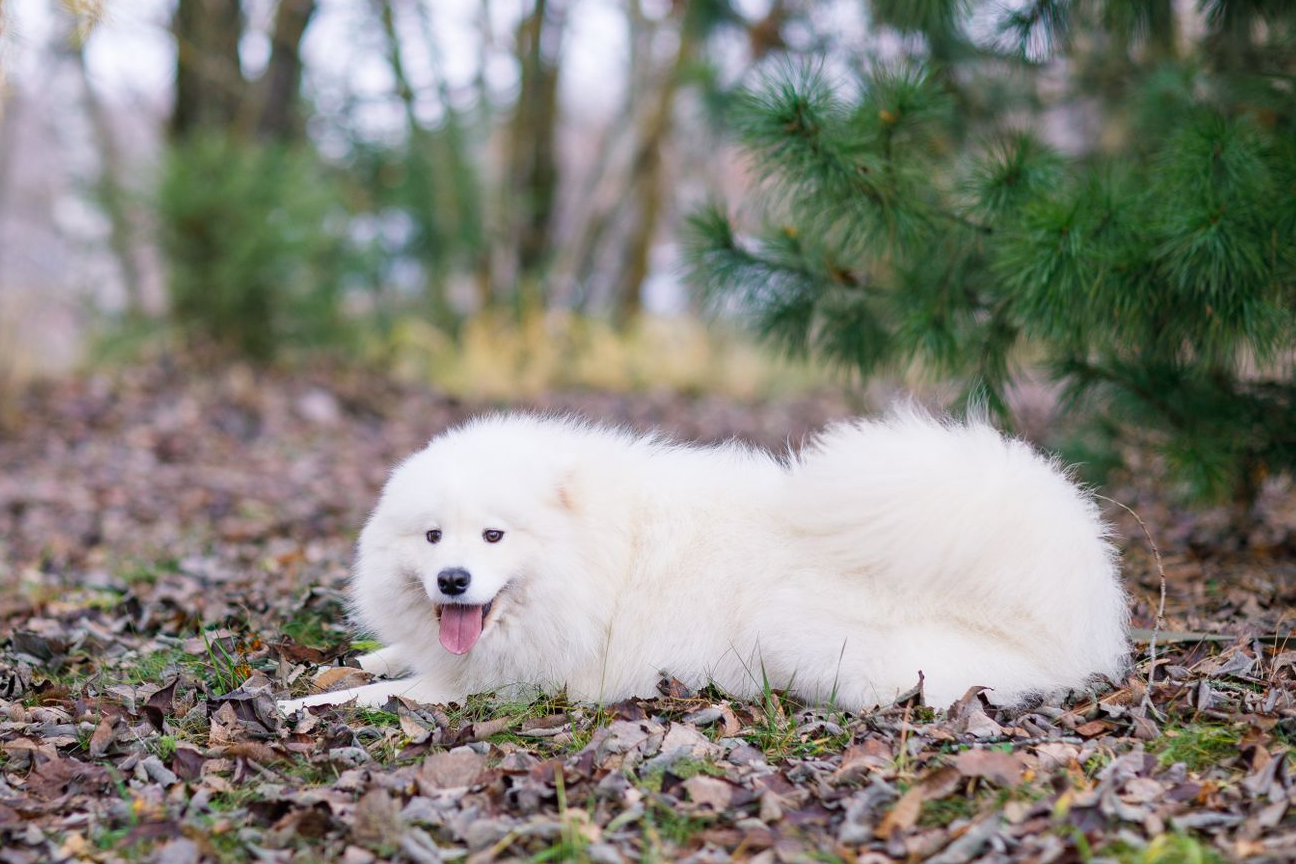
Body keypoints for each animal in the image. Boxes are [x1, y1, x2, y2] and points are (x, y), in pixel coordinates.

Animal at [278, 411, 1130, 715]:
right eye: (431, 538)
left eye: (493, 537)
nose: (452, 582)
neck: (596, 553)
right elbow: (392, 657)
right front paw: (349, 658)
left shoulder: (514, 683)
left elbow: (390, 692)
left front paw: (301, 706)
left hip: (797, 631)